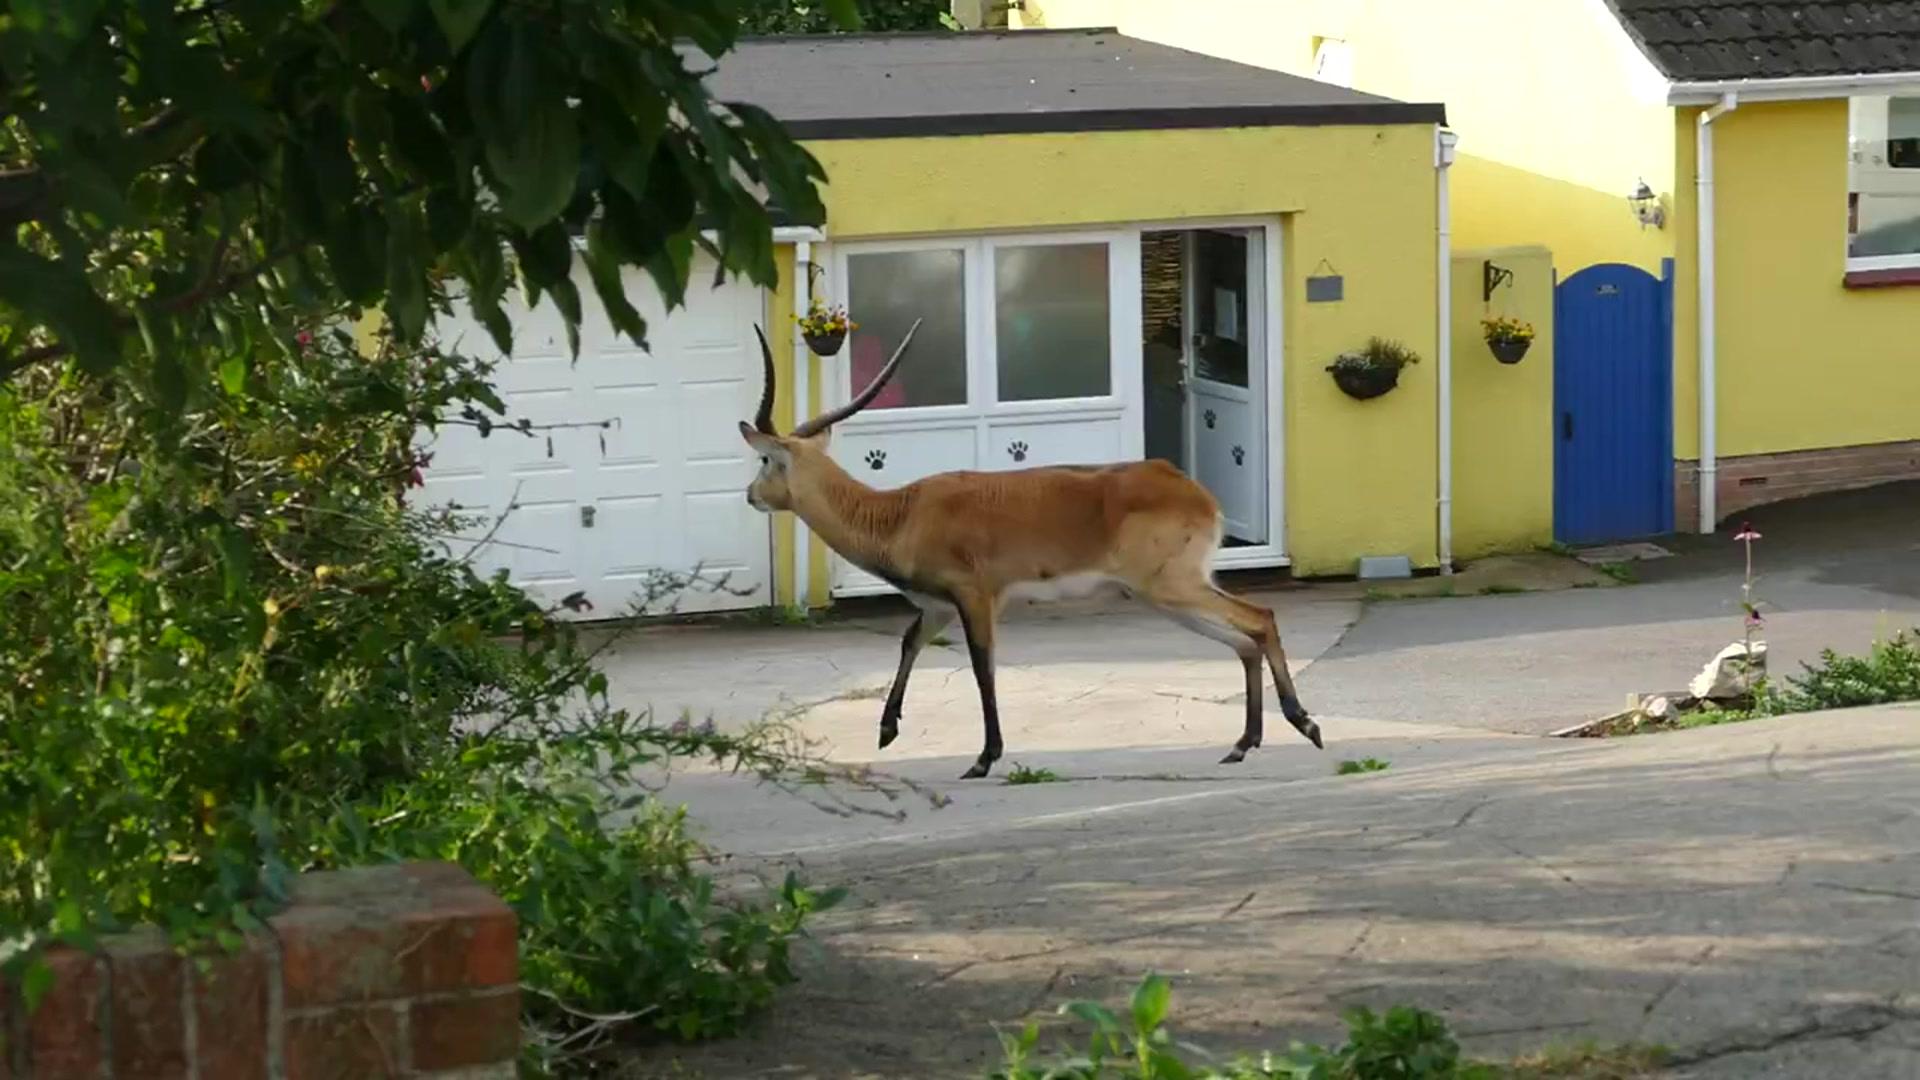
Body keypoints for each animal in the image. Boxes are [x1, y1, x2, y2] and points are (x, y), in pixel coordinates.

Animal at [737, 317, 1320, 772]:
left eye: (766, 459)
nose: (749, 495)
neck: (900, 514)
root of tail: (1193, 491)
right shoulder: (937, 607)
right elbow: (908, 644)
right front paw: (886, 731)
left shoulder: (976, 597)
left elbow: (982, 667)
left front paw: (984, 757)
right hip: (1166, 597)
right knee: (1244, 641)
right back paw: (1243, 744)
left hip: (1172, 588)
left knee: (1260, 618)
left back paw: (1304, 726)